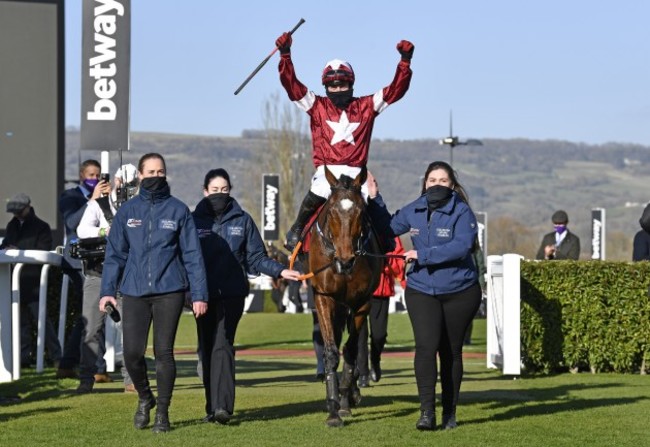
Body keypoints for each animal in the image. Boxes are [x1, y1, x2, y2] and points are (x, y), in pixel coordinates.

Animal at [306, 166, 382, 428]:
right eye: (331, 211)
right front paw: (332, 410)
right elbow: (331, 351)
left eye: (361, 211)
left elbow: (350, 351)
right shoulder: (324, 297)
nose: (346, 260)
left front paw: (345, 402)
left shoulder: (361, 302)